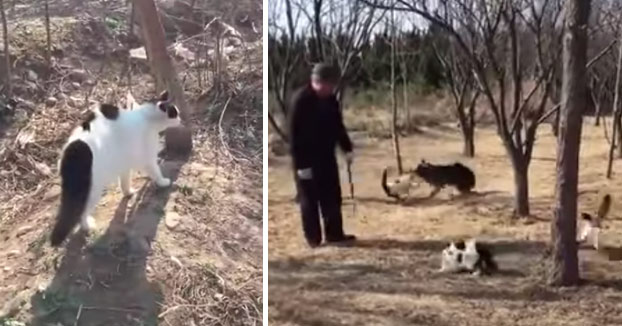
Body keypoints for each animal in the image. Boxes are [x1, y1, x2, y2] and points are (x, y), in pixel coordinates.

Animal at [50, 90, 182, 246]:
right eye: (174, 113)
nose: (181, 119)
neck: (145, 117)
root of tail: (75, 148)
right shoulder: (147, 159)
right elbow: (156, 172)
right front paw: (163, 182)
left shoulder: (124, 163)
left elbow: (125, 182)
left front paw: (128, 193)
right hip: (91, 190)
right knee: (81, 211)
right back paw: (87, 225)